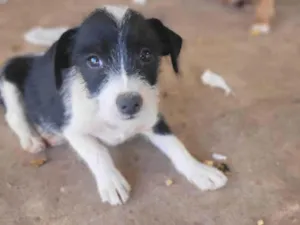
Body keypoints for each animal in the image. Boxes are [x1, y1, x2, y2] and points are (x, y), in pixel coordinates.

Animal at [0, 5, 227, 206]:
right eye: (93, 61)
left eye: (146, 55)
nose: (130, 104)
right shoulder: (74, 129)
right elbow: (97, 151)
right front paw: (111, 182)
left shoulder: (152, 118)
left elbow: (175, 143)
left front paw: (199, 170)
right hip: (10, 73)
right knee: (14, 115)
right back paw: (32, 138)